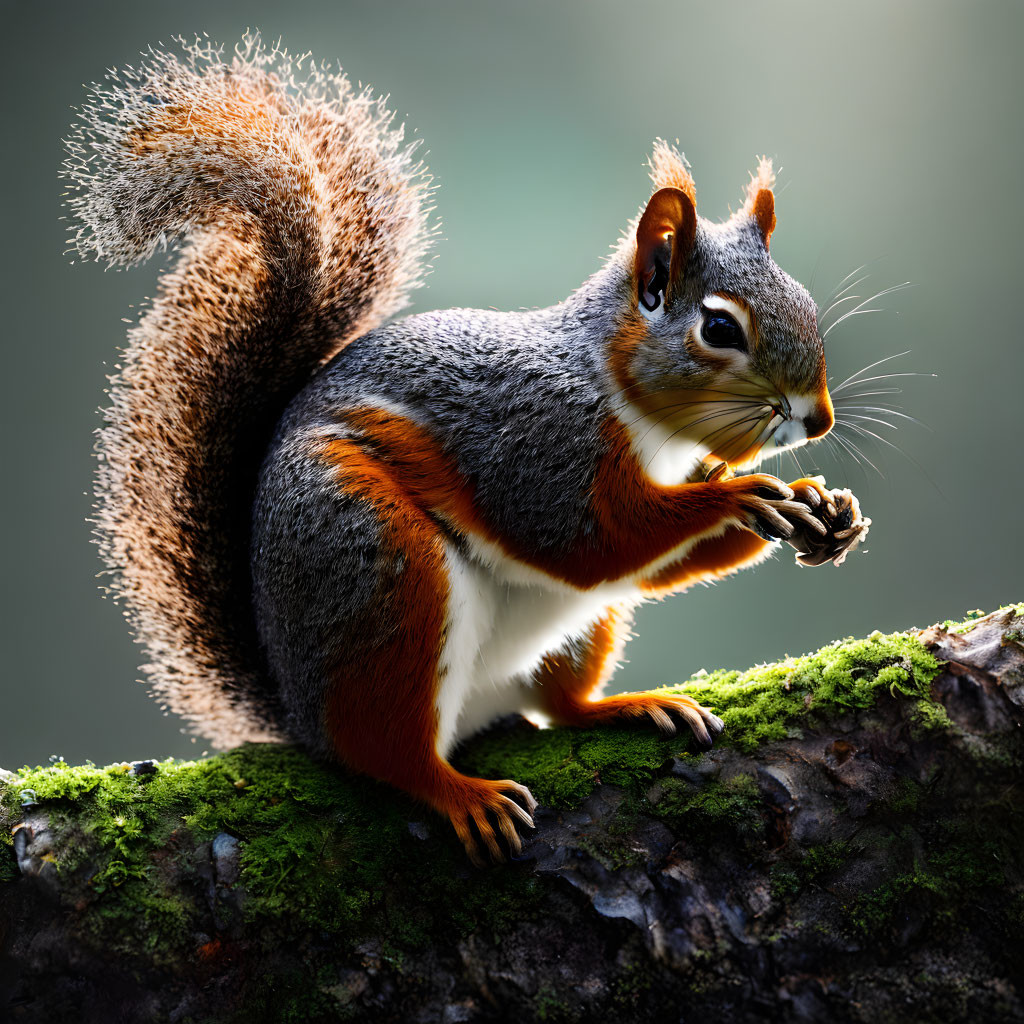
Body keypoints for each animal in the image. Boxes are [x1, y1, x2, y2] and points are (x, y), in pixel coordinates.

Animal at [61, 34, 864, 864]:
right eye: (720, 329)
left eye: (806, 303)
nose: (818, 422)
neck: (640, 416)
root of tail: (297, 709)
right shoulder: (535, 445)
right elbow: (593, 540)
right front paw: (738, 497)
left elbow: (643, 563)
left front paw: (822, 507)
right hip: (379, 563)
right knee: (386, 751)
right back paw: (458, 792)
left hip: (566, 633)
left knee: (558, 706)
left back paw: (628, 707)